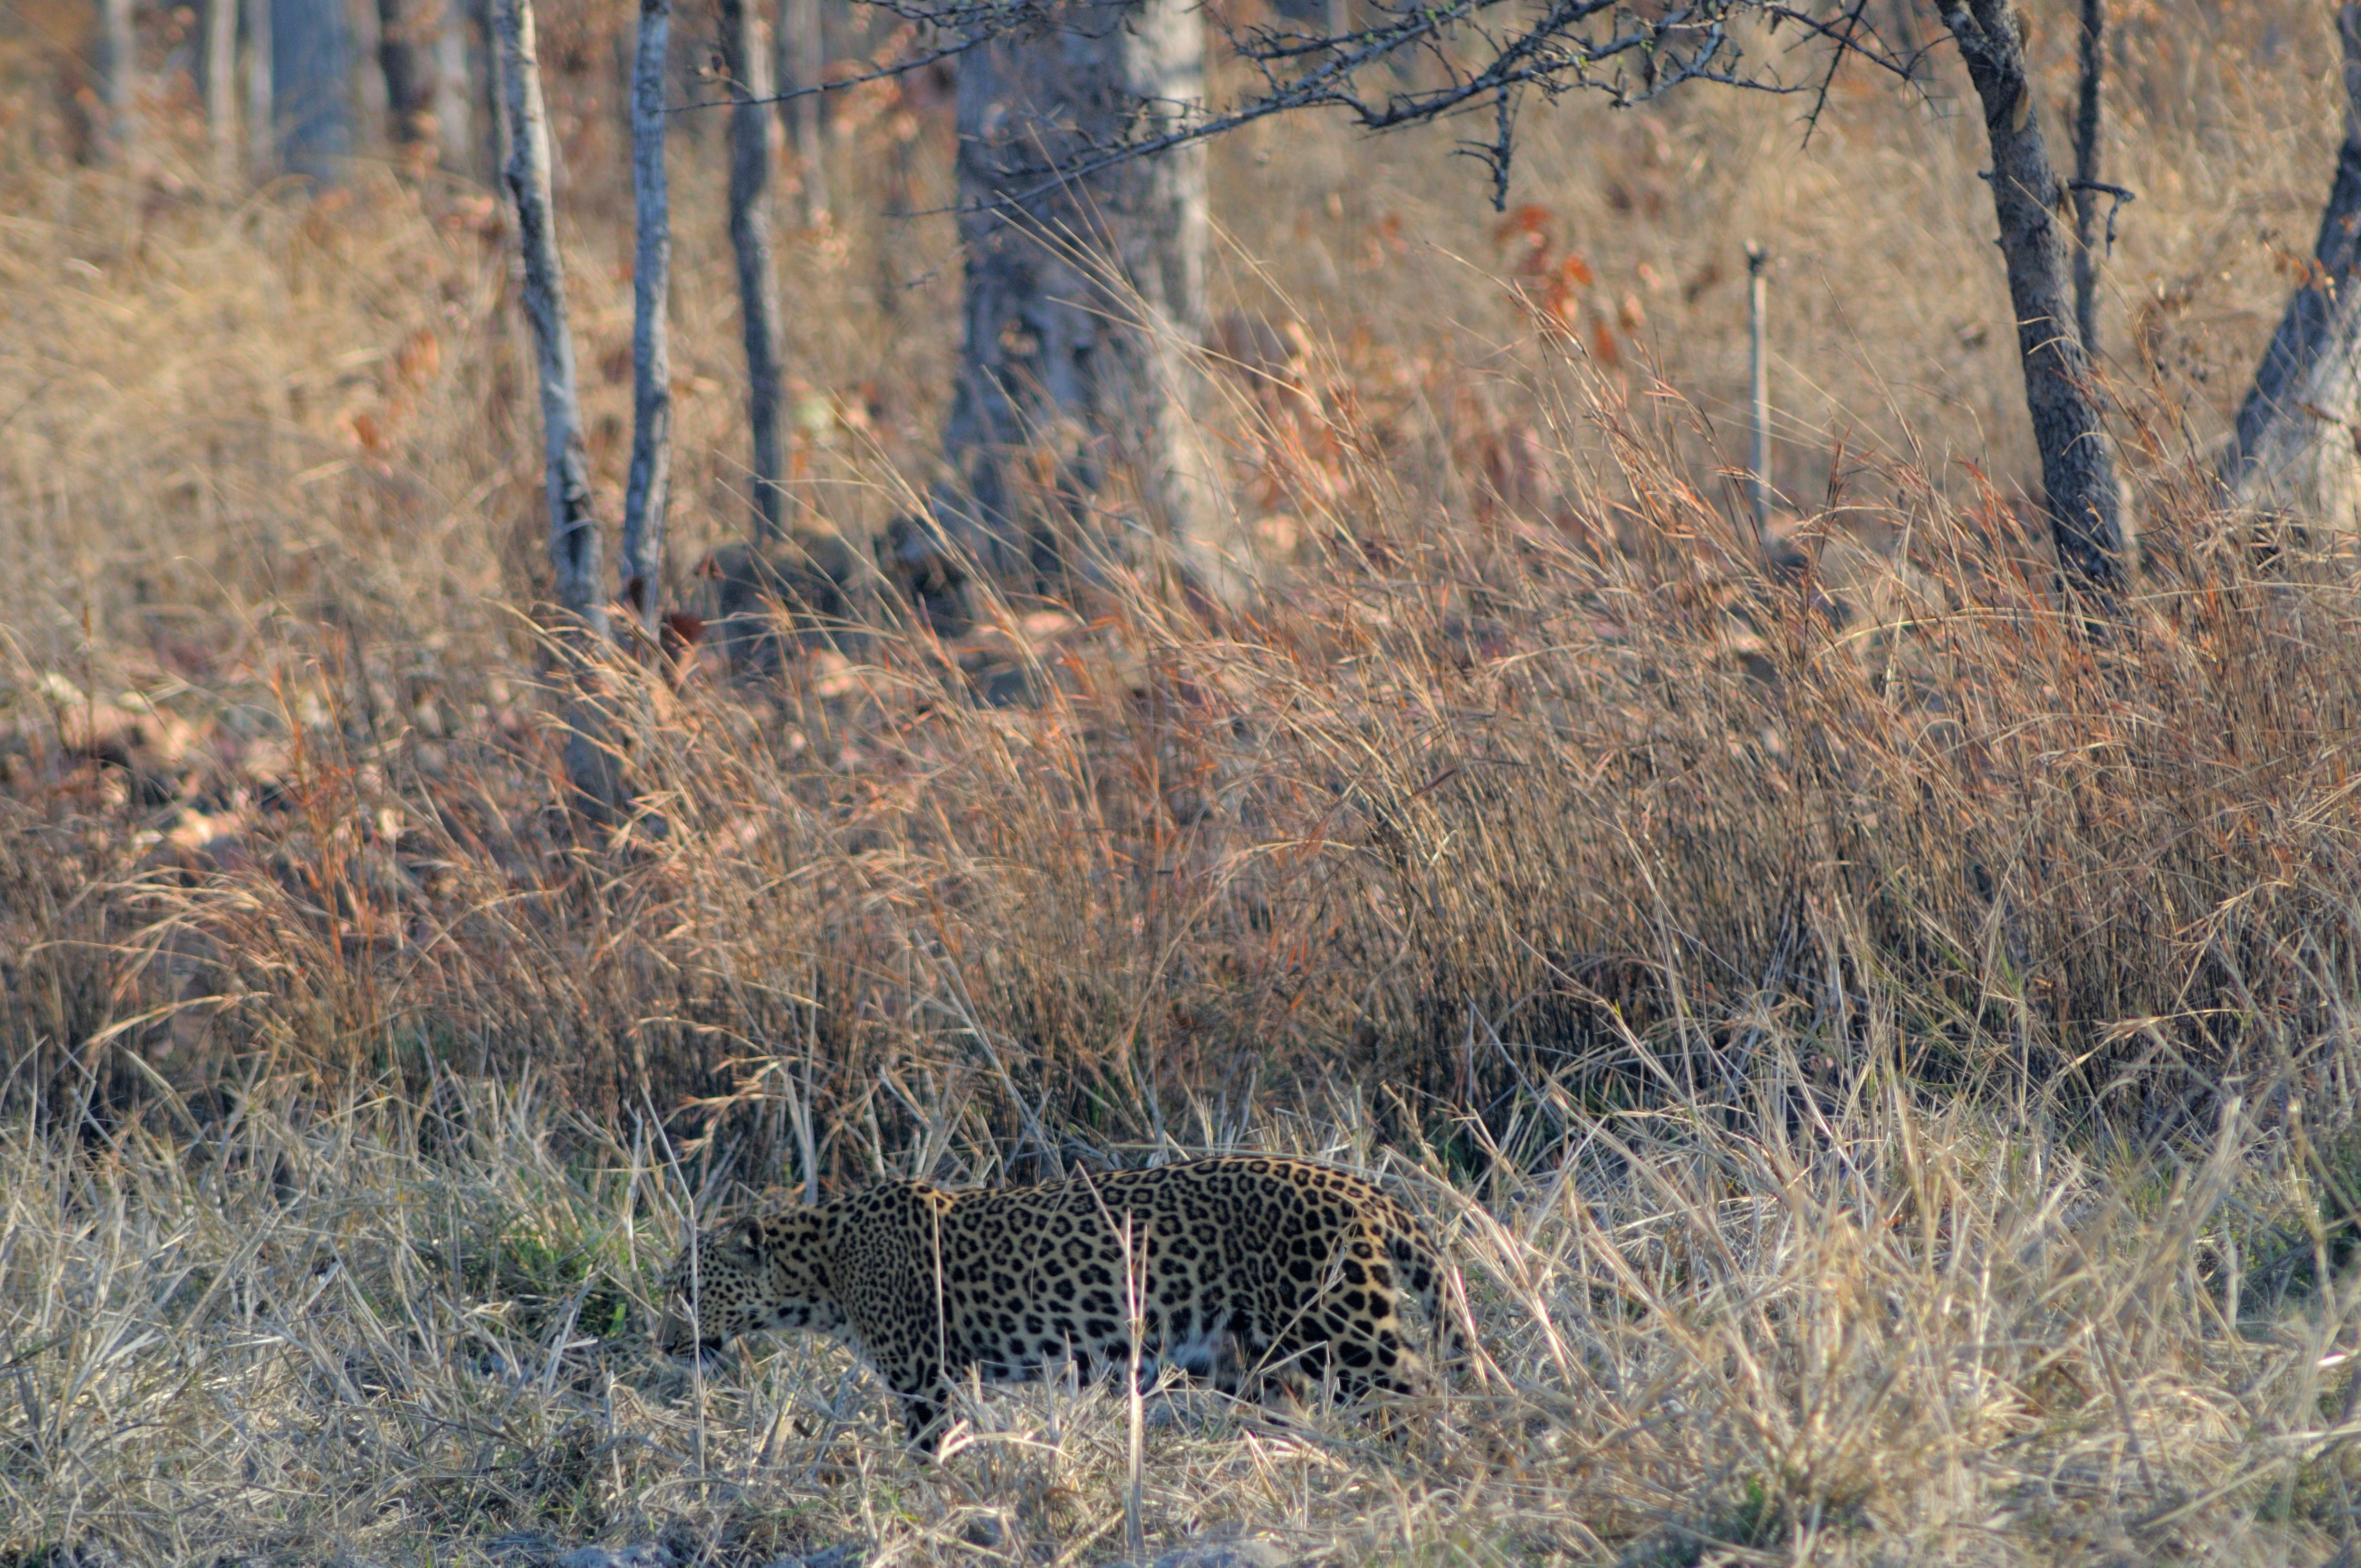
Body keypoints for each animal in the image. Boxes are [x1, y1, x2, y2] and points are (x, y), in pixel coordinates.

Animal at [661, 1152, 1454, 1445]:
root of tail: (1358, 1185)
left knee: (1418, 1390)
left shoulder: (925, 1378)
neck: (822, 1270)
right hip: (1249, 1357)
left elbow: (928, 1452)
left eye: (689, 1290)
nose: (665, 1345)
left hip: (1345, 1329)